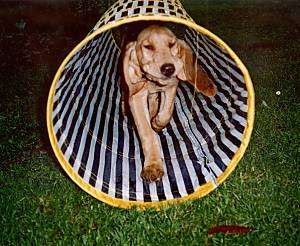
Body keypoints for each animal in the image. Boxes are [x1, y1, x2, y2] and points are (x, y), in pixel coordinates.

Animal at [123, 25, 217, 183]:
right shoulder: (137, 97)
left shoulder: (171, 86)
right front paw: (152, 166)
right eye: (148, 47)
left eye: (172, 45)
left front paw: (157, 123)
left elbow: (166, 112)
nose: (168, 69)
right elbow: (147, 133)